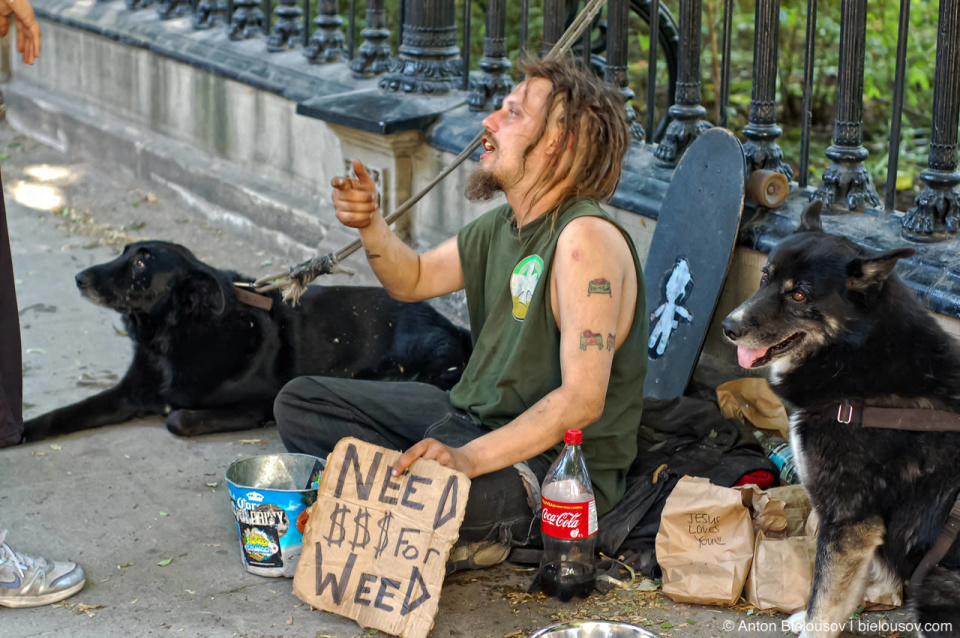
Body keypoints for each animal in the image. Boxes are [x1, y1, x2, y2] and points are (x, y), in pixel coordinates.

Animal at [24, 242, 470, 442]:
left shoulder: (259, 402)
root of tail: (454, 329)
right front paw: (22, 431)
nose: (79, 278)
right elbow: (66, 412)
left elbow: (178, 417)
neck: (175, 336)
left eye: (140, 262)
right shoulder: (127, 393)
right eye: (125, 252)